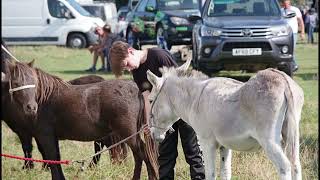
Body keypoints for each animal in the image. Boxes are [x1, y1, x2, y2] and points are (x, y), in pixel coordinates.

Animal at [4, 60, 159, 180]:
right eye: (16, 83)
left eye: (34, 82)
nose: (31, 107)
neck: (44, 99)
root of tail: (135, 88)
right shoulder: (48, 137)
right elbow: (55, 158)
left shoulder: (44, 136)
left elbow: (51, 158)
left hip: (128, 134)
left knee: (141, 154)